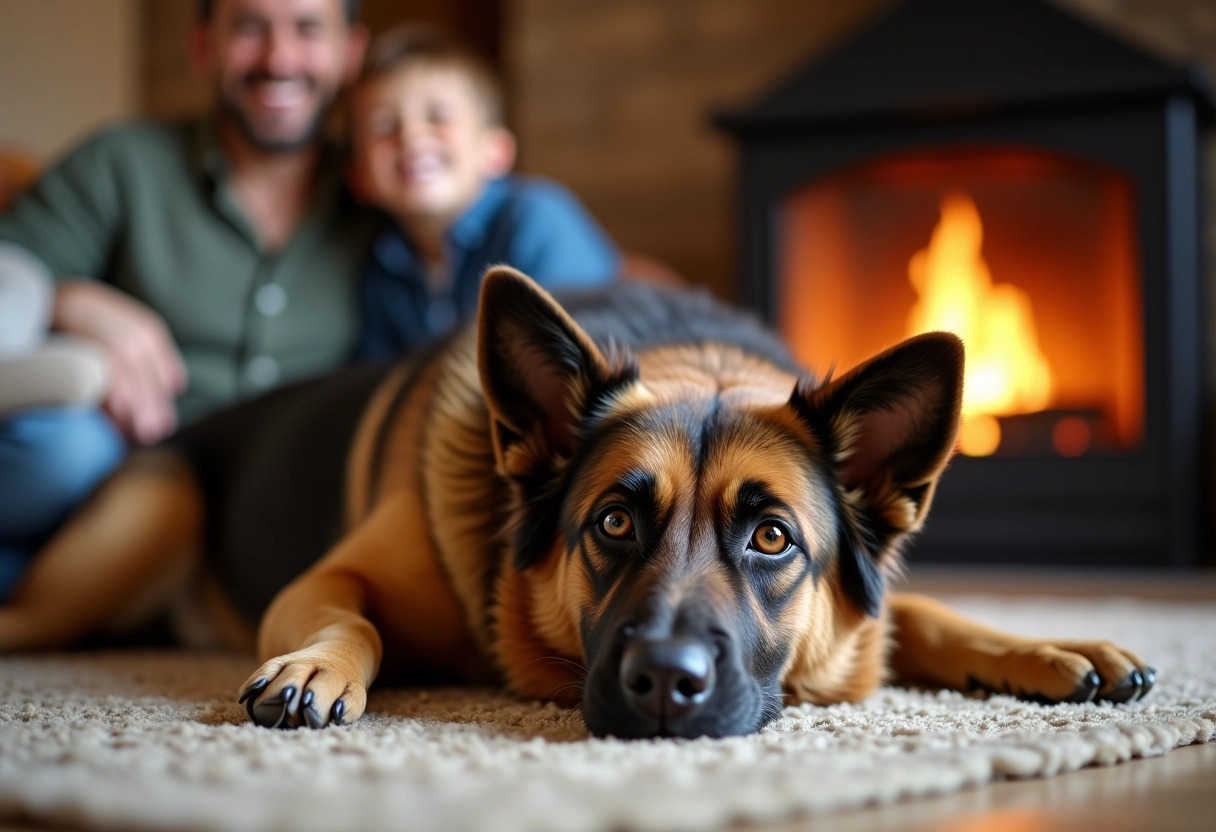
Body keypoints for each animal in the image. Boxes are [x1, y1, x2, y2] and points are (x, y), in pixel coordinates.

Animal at [0, 270, 1152, 739]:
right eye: (613, 523)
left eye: (771, 537)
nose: (664, 684)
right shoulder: (329, 577)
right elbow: (347, 616)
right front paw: (318, 667)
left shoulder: (870, 606)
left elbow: (927, 614)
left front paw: (1049, 648)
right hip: (133, 540)